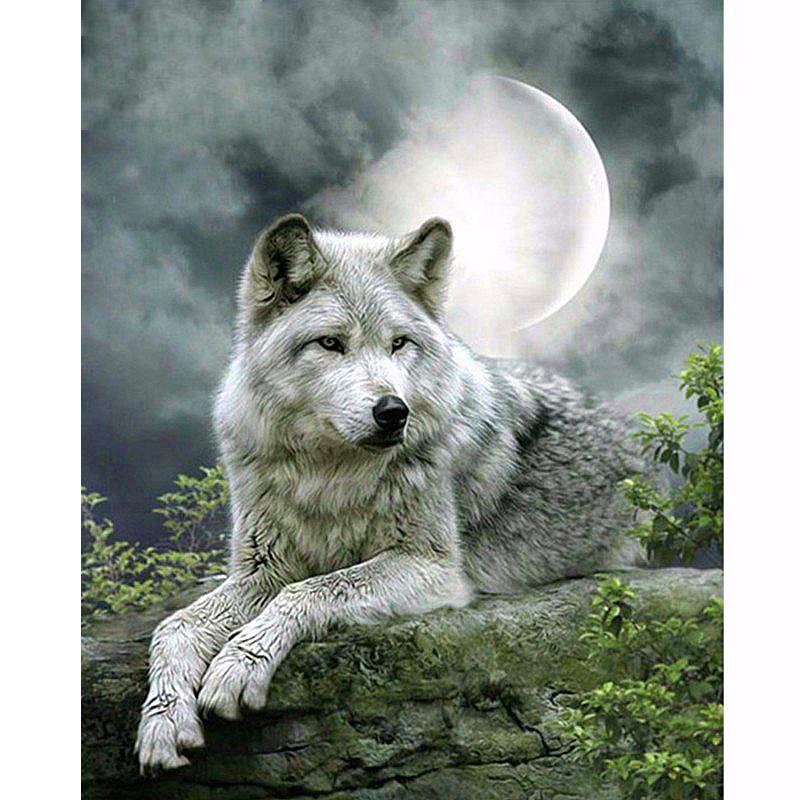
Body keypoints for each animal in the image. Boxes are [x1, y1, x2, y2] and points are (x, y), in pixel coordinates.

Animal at [136, 213, 643, 773]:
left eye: (399, 343)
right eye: (331, 344)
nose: (394, 412)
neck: (329, 475)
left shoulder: (433, 567)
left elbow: (311, 590)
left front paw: (237, 664)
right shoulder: (262, 569)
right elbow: (174, 626)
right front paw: (163, 722)